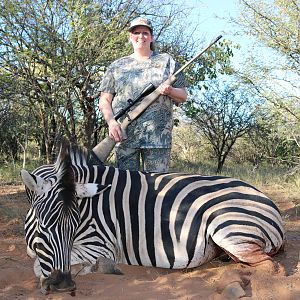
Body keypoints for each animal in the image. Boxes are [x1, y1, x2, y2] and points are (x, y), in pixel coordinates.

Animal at [20, 144, 284, 294]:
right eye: (43, 226)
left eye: (74, 227)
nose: (63, 285)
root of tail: (270, 203)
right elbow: (35, 256)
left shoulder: (101, 245)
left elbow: (38, 265)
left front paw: (92, 268)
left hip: (227, 226)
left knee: (269, 268)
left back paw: (232, 288)